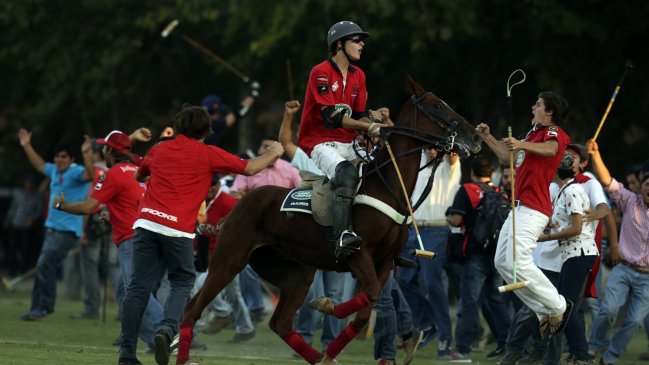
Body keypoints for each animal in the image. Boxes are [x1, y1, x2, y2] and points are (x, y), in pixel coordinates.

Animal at [175, 75, 478, 362]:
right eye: (436, 106)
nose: (474, 137)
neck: (388, 189)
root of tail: (238, 205)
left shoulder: (384, 263)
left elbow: (366, 310)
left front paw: (332, 346)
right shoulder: (359, 255)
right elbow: (367, 295)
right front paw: (325, 305)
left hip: (296, 273)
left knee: (280, 323)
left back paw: (319, 357)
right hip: (229, 260)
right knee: (192, 310)